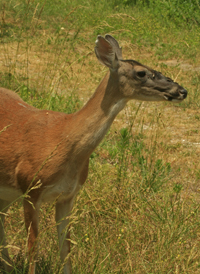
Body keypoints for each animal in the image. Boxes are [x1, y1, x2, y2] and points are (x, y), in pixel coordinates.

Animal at [0, 35, 188, 272]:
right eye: (141, 72)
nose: (182, 91)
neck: (64, 140)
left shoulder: (68, 195)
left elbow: (66, 248)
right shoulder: (30, 188)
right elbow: (33, 248)